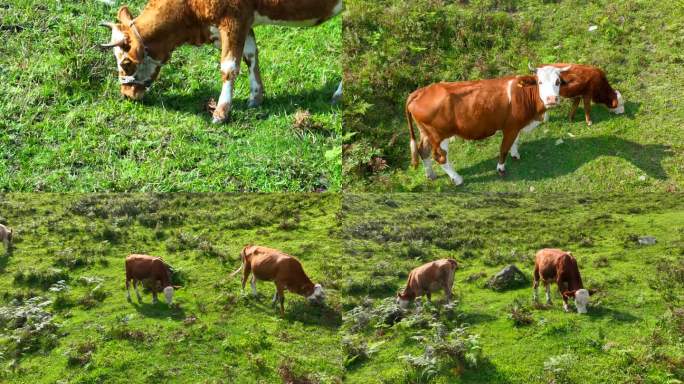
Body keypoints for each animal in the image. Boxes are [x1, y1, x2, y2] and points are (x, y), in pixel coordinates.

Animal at [100, 0, 342, 123]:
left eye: (125, 63)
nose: (126, 94)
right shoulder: (243, 22)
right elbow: (250, 56)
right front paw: (256, 97)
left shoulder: (233, 18)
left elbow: (229, 67)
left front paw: (221, 112)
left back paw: (338, 95)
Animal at [406, 65, 572, 184]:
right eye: (540, 82)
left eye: (558, 82)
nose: (551, 99)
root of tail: (422, 91)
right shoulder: (510, 127)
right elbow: (504, 148)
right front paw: (501, 168)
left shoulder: (517, 126)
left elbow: (515, 141)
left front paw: (515, 154)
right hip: (439, 135)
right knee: (440, 157)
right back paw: (457, 179)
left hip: (426, 133)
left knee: (423, 151)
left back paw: (431, 175)